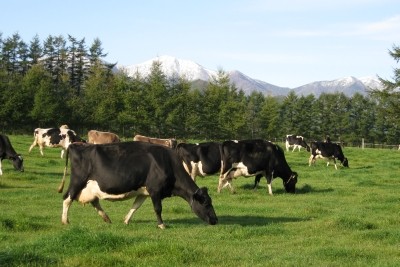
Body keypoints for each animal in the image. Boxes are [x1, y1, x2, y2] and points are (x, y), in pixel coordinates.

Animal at [57, 142, 217, 230]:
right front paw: (162, 225)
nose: (215, 220)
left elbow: (135, 207)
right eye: (206, 203)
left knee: (94, 201)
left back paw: (106, 218)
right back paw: (65, 221)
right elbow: (158, 208)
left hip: (91, 186)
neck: (169, 163)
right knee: (67, 198)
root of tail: (75, 145)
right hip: (78, 180)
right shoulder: (155, 190)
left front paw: (126, 220)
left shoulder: (144, 192)